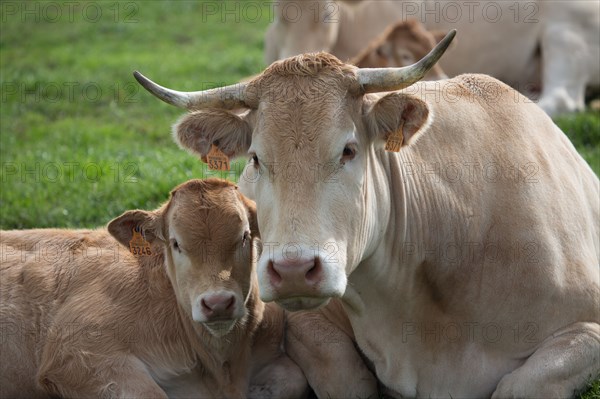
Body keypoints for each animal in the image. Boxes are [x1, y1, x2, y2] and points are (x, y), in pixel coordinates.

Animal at [136, 28, 600, 399]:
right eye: (254, 158)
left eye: (348, 150)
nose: (292, 270)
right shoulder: (304, 325)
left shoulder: (585, 327)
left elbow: (518, 386)